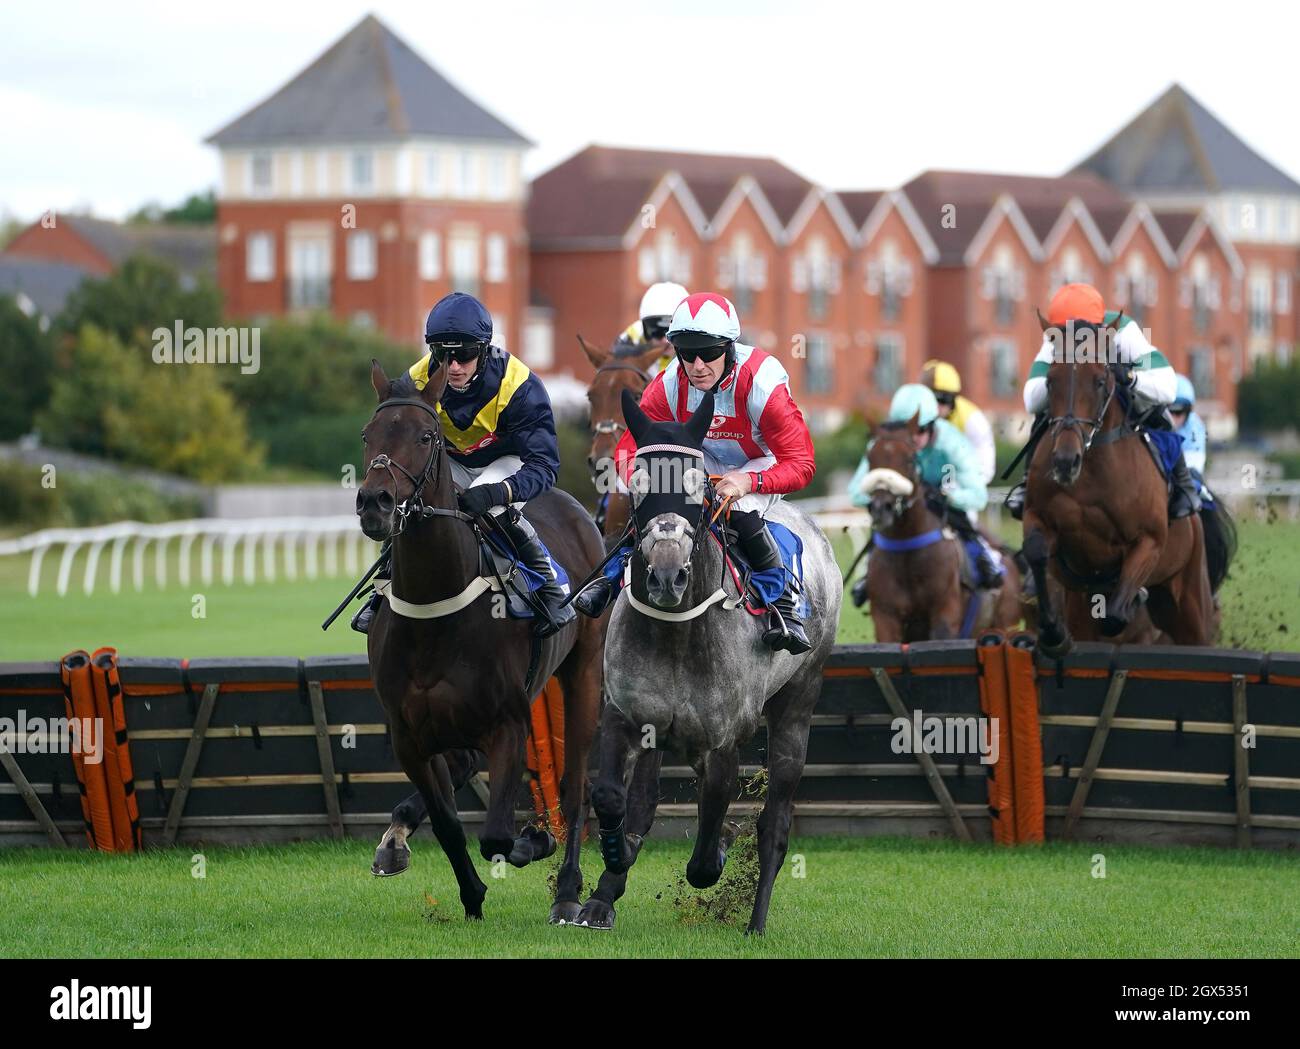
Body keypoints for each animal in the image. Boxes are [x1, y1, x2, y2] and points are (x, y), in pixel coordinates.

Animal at [356, 363, 608, 925]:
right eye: (368, 434)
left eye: (426, 436)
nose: (375, 503)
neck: (436, 611)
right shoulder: (408, 735)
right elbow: (450, 824)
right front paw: (470, 894)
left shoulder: (509, 724)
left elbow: (496, 836)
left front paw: (534, 841)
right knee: (464, 766)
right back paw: (395, 839)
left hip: (583, 672)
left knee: (577, 786)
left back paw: (568, 891)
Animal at [572, 387, 842, 935]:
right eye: (638, 484)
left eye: (698, 488)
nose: (666, 576)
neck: (677, 630)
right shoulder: (626, 715)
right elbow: (614, 800)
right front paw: (606, 879)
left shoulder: (722, 742)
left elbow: (706, 848)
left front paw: (719, 850)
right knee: (643, 802)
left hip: (797, 705)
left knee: (775, 822)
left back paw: (756, 923)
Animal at [863, 418, 1024, 639]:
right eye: (870, 459)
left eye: (909, 460)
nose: (881, 508)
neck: (906, 546)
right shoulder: (885, 619)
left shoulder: (944, 615)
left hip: (1006, 624)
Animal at [1019, 311, 1222, 655]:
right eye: (1050, 381)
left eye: (1100, 381)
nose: (1065, 461)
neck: (1090, 474)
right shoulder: (1040, 519)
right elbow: (1035, 551)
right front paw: (1052, 632)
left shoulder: (1149, 542)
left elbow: (1114, 615)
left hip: (1190, 606)